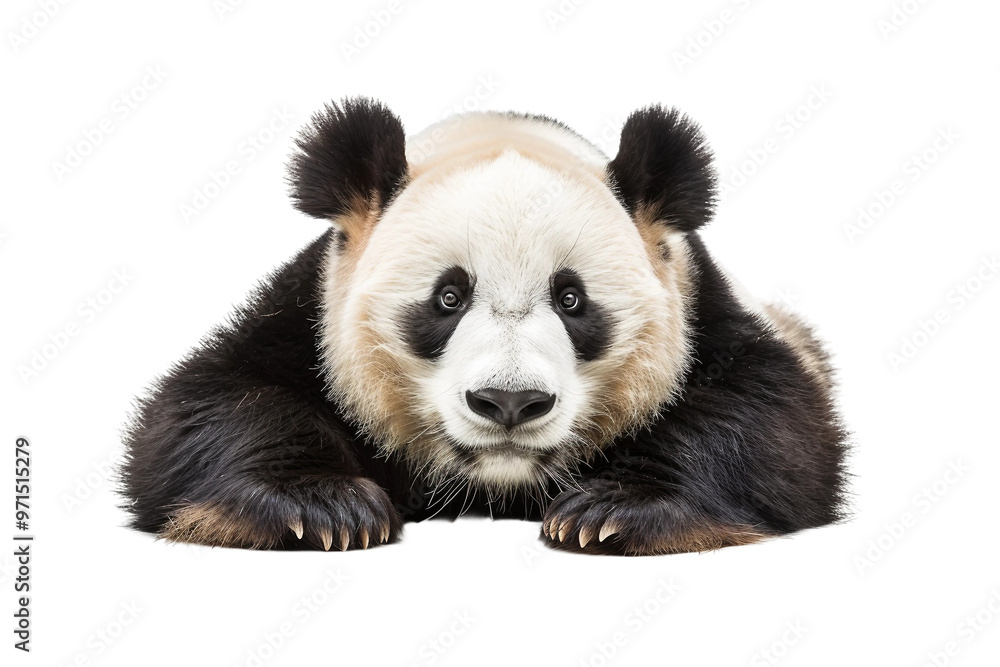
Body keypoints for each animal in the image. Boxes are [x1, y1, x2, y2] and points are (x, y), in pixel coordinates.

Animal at [119, 97, 848, 556]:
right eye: (447, 298)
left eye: (572, 300)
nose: (510, 402)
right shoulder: (307, 313)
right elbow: (206, 406)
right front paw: (321, 507)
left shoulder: (706, 313)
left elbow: (771, 419)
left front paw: (614, 510)